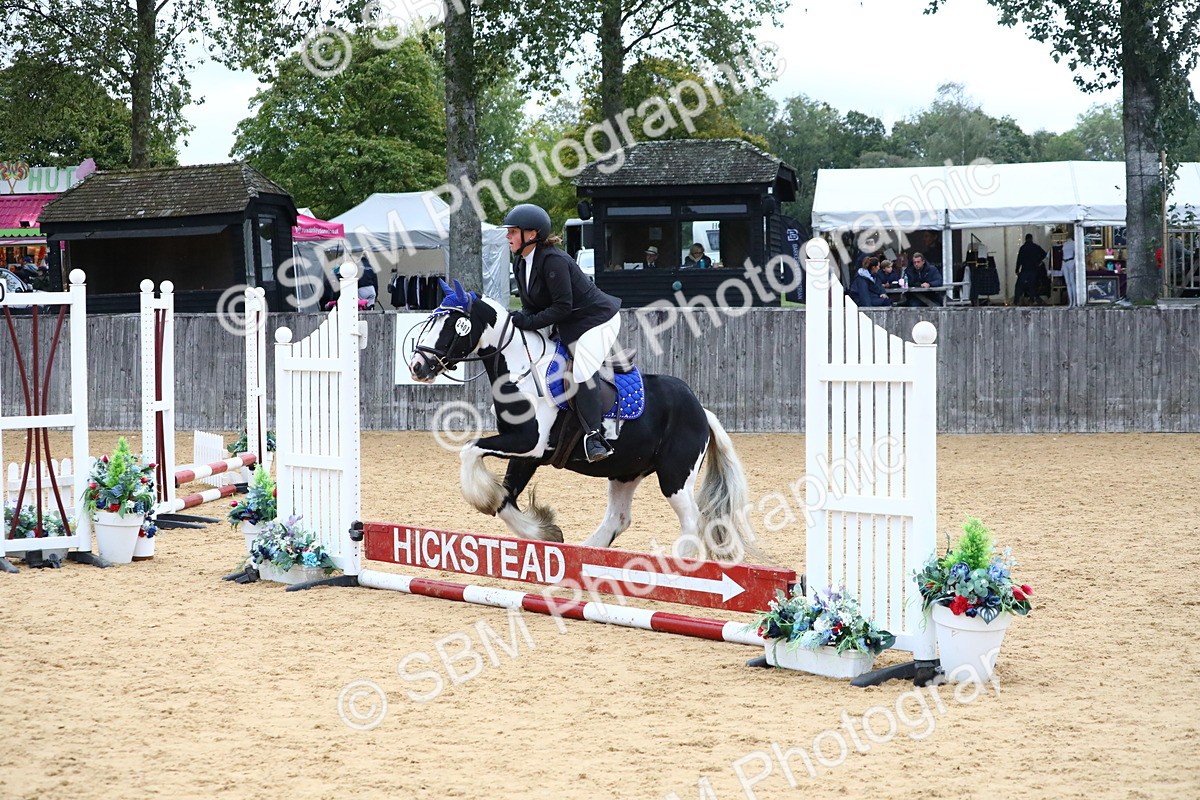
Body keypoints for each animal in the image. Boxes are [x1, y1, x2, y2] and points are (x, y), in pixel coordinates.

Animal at [407, 280, 759, 561]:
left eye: (453, 324)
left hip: (674, 474)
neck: (522, 370)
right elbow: (505, 500)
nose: (417, 366)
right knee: (619, 517)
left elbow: (470, 451)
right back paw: (590, 555)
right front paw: (546, 533)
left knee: (692, 520)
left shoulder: (527, 443)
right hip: (626, 470)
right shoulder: (527, 455)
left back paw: (675, 567)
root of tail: (701, 409)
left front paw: (485, 498)